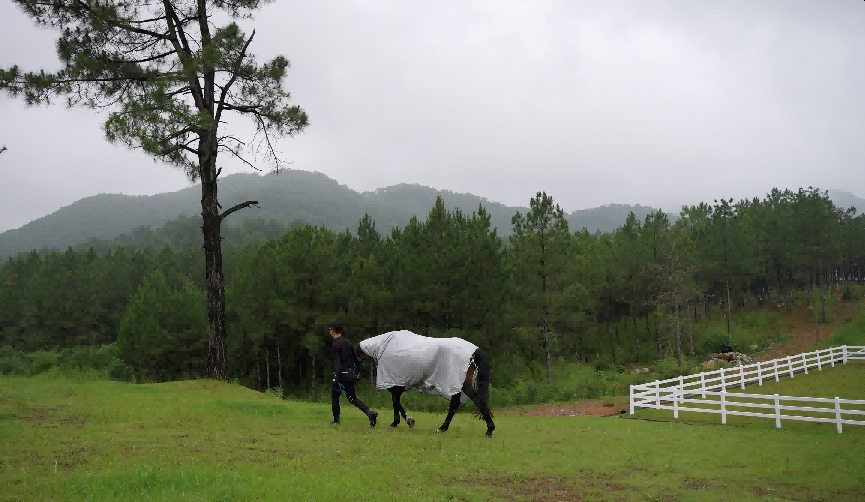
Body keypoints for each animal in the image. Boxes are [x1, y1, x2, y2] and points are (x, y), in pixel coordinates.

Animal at [355, 330, 495, 438]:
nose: (356, 375)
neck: (383, 345)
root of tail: (474, 350)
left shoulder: (395, 382)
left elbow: (395, 401)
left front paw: (405, 421)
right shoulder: (398, 383)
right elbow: (396, 401)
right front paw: (403, 421)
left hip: (460, 383)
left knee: (477, 400)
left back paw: (489, 429)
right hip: (454, 384)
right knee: (455, 404)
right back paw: (443, 428)